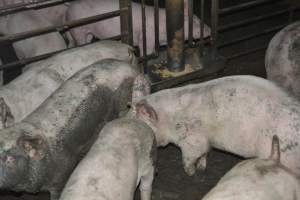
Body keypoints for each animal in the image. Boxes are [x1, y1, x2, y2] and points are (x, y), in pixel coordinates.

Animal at [65, 0, 211, 55]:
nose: (209, 29)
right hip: (78, 30)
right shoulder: (147, 36)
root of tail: (69, 7)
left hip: (86, 32)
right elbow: (146, 50)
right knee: (79, 41)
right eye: (195, 21)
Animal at [132, 75, 300, 177]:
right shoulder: (204, 141)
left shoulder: (192, 140)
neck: (169, 120)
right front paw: (201, 168)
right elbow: (204, 153)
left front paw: (191, 172)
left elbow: (189, 157)